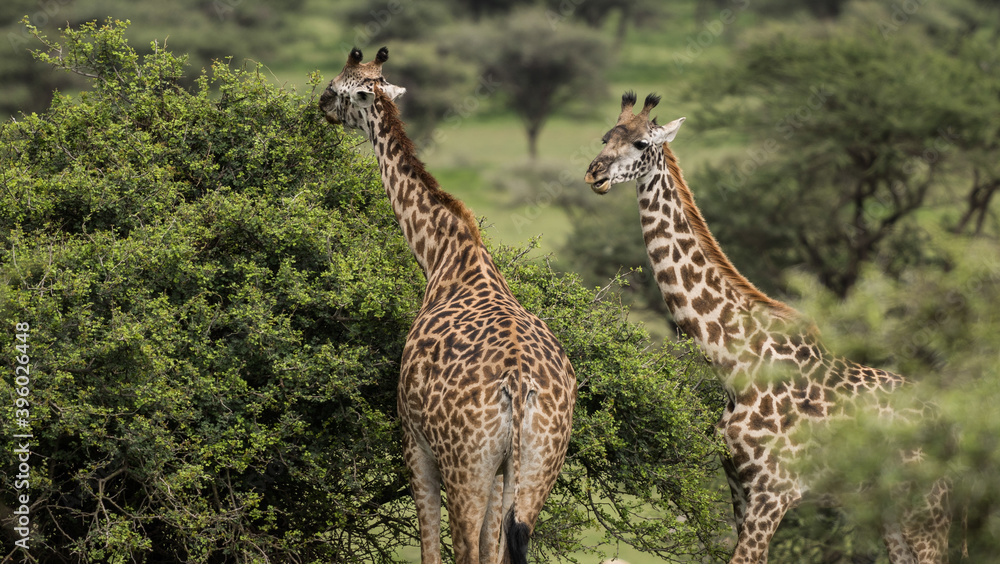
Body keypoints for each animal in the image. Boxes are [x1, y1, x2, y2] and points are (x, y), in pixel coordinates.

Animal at [319, 47, 576, 564]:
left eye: (339, 87)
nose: (320, 103)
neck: (442, 256)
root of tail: (518, 386)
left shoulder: (412, 441)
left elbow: (430, 548)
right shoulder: (500, 474)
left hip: (465, 466)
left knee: (465, 549)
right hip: (537, 467)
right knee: (509, 542)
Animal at [583, 92, 951, 564]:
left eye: (642, 143)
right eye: (605, 137)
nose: (595, 173)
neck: (733, 364)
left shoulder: (775, 491)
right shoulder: (739, 488)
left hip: (926, 509)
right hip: (889, 508)